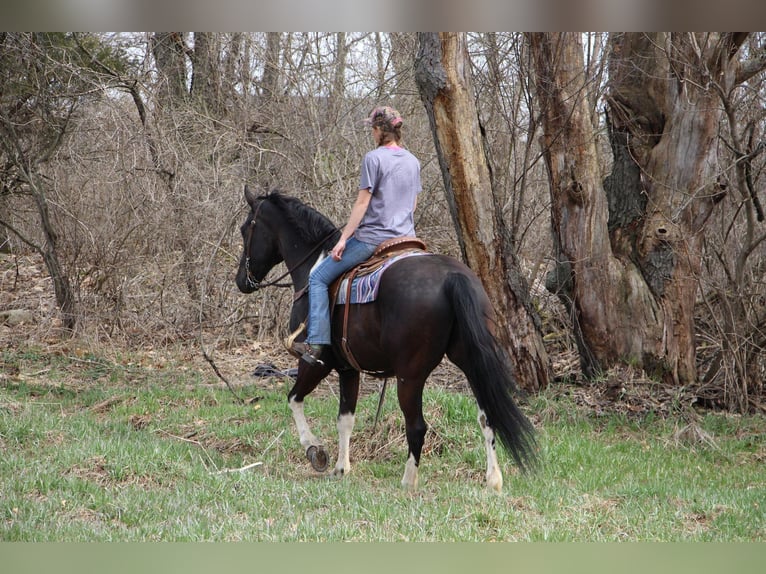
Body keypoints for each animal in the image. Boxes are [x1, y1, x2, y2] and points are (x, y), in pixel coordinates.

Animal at [237, 187, 536, 492]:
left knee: (417, 425)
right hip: (471, 362)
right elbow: (345, 419)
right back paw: (493, 479)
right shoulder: (348, 369)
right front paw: (341, 468)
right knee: (487, 416)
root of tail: (452, 277)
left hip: (410, 376)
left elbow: (294, 399)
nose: (242, 281)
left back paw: (408, 481)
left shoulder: (315, 362)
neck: (313, 267)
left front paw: (315, 451)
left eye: (245, 229)